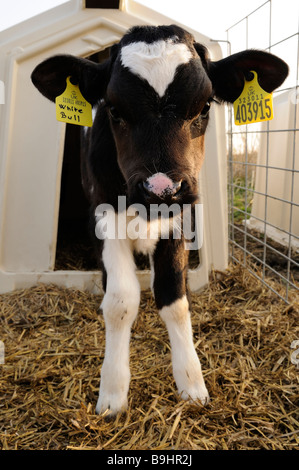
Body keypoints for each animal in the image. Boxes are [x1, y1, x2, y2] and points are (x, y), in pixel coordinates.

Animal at [31, 25, 290, 414]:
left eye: (204, 105)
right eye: (114, 108)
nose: (161, 188)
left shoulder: (179, 218)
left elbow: (174, 298)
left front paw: (191, 383)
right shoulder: (103, 216)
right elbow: (120, 301)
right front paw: (112, 391)